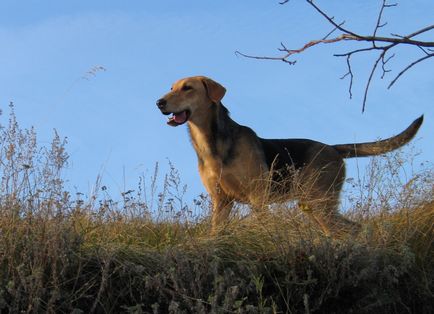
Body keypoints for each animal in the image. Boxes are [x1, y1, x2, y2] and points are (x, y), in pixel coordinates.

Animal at [157, 76, 424, 237]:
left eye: (187, 88)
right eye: (171, 88)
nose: (159, 102)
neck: (211, 143)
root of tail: (333, 148)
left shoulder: (257, 197)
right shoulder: (221, 201)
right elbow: (215, 232)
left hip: (320, 205)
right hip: (314, 206)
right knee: (350, 229)